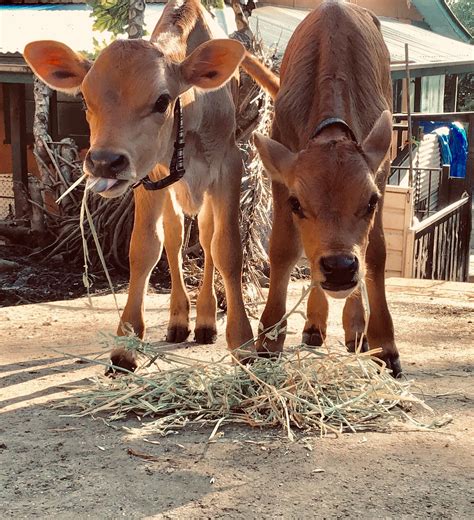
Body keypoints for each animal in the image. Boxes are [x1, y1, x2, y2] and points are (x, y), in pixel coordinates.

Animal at [24, 0, 266, 368]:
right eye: (85, 100)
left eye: (162, 101)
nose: (104, 161)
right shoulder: (149, 176)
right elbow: (144, 247)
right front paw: (126, 342)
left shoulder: (229, 165)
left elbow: (226, 249)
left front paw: (243, 341)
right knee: (175, 237)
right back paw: (179, 320)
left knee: (207, 238)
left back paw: (206, 320)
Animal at [254, 0, 402, 374]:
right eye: (296, 204)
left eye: (371, 201)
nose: (339, 267)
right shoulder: (280, 174)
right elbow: (283, 249)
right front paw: (268, 340)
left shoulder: (381, 171)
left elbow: (376, 253)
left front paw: (384, 346)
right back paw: (314, 325)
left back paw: (355, 329)